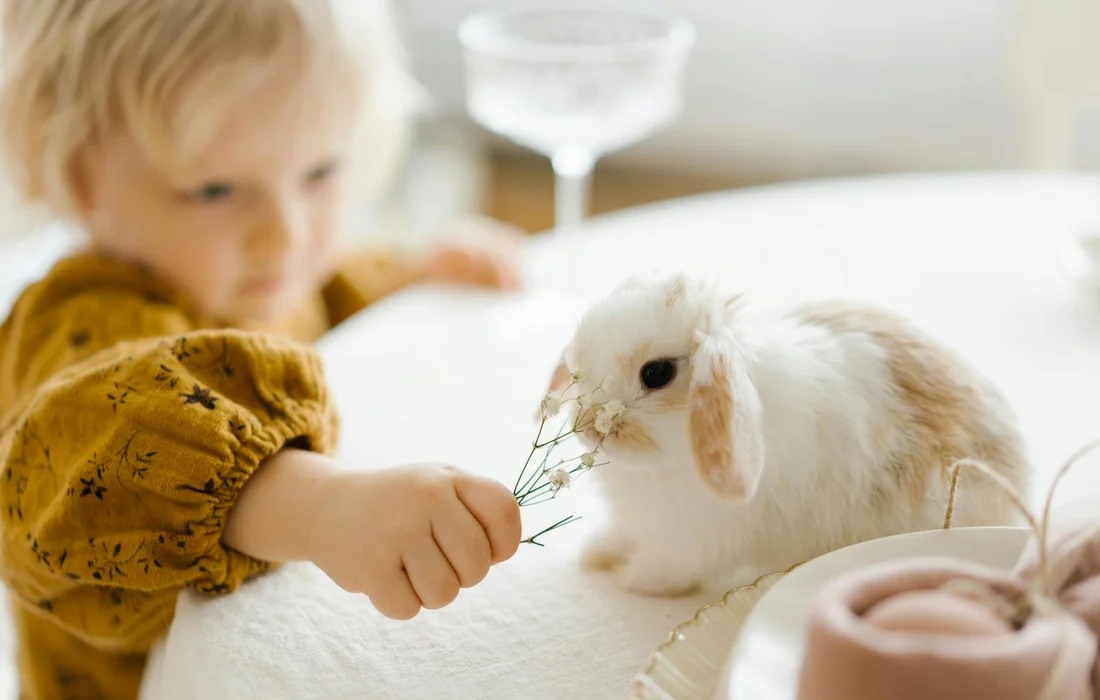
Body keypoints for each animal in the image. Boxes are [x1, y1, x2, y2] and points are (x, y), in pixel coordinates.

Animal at [545, 274, 1029, 598]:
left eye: (657, 373)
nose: (585, 427)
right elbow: (626, 534)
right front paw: (598, 552)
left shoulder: (696, 535)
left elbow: (672, 564)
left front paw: (638, 580)